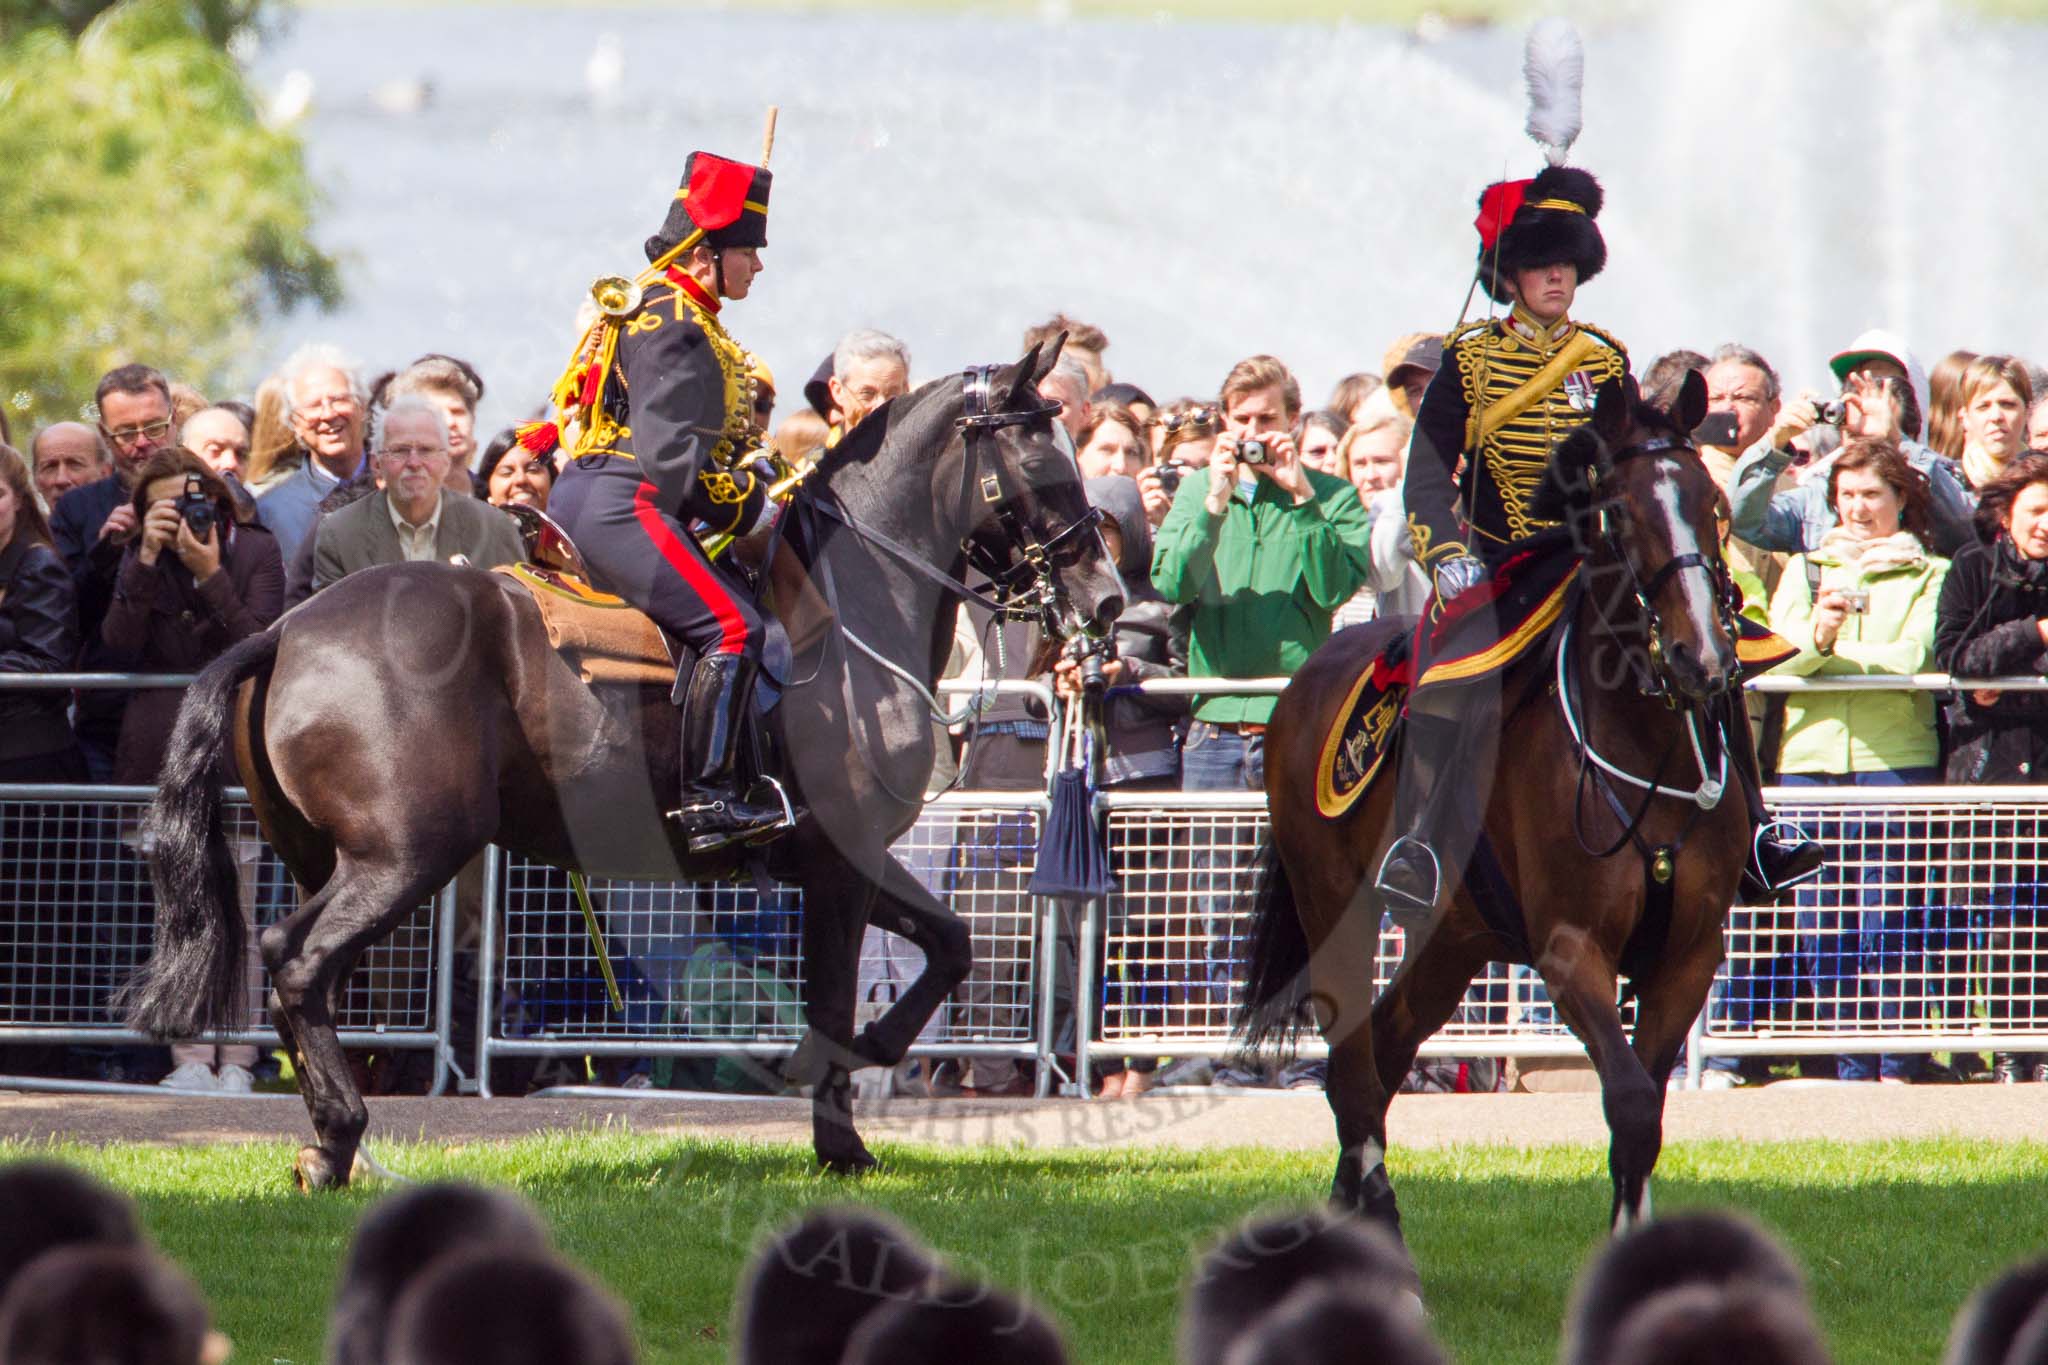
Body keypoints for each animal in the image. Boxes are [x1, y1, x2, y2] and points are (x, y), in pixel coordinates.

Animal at [123, 341, 1122, 1186]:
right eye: (1044, 467)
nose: (1107, 599)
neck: (845, 612)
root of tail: (289, 630)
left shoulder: (848, 858)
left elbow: (949, 944)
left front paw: (866, 1061)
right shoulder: (842, 862)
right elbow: (841, 995)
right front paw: (841, 1133)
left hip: (325, 857)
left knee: (303, 973)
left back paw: (332, 1142)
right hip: (404, 857)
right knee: (297, 963)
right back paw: (338, 1136)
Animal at [1236, 370, 1753, 1236]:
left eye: (1712, 502)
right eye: (1619, 512)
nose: (1702, 658)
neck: (1643, 744)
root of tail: (1310, 673)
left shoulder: (1688, 955)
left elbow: (1645, 1123)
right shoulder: (1569, 949)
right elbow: (1631, 1103)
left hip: (1455, 939)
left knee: (1381, 1054)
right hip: (1336, 910)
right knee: (1352, 1072)